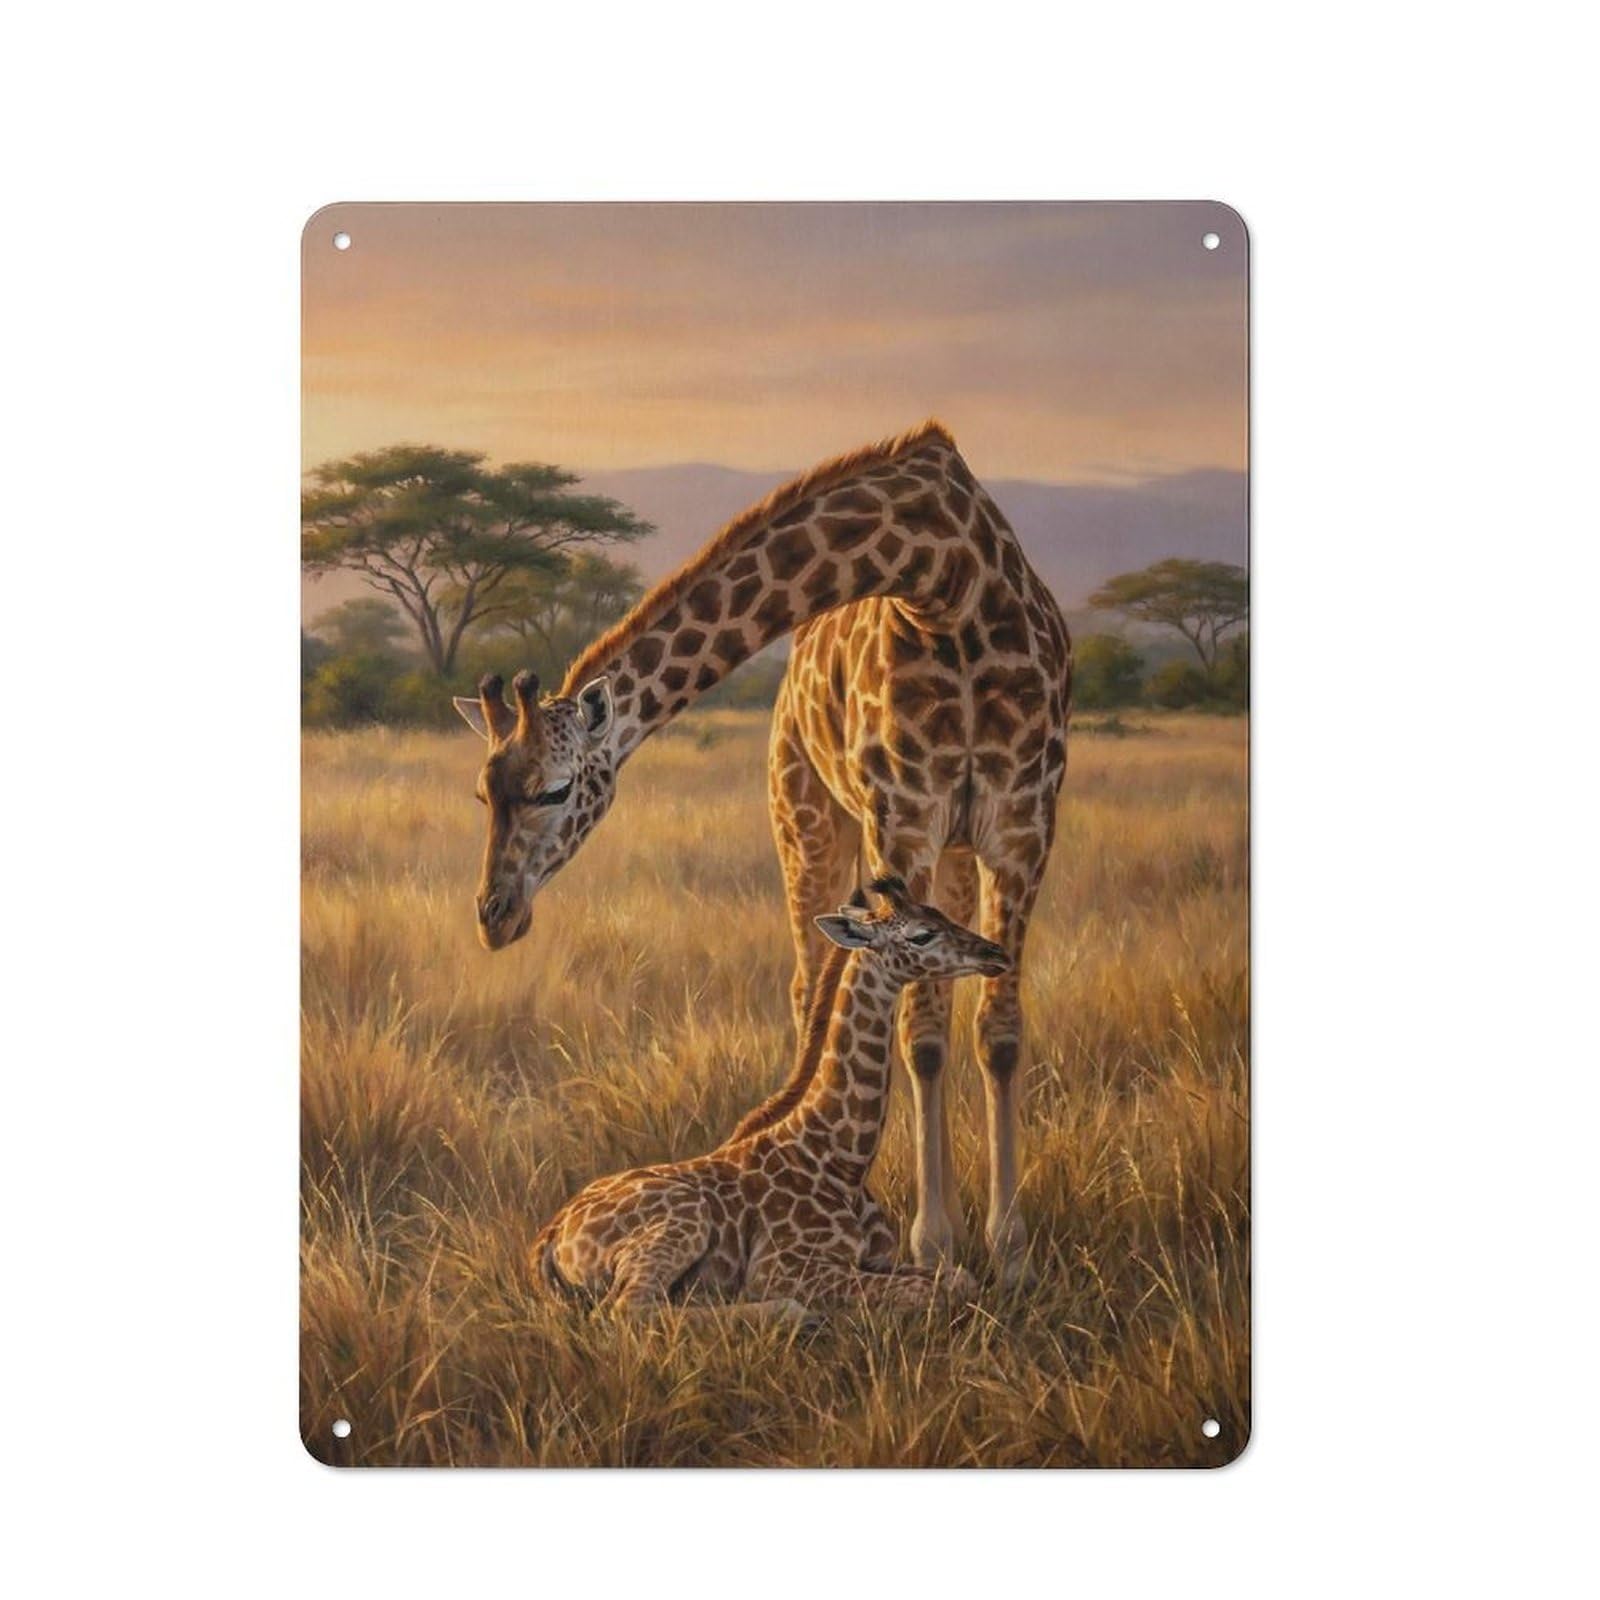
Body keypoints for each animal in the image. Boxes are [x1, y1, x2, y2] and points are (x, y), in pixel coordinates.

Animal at [529, 877, 1009, 1318]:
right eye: (921, 935)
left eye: (940, 914)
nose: (996, 954)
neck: (842, 1160)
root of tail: (548, 1236)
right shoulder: (785, 1268)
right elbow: (931, 1292)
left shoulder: (879, 1257)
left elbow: (960, 1278)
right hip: (686, 1220)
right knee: (629, 1308)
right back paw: (790, 1314)